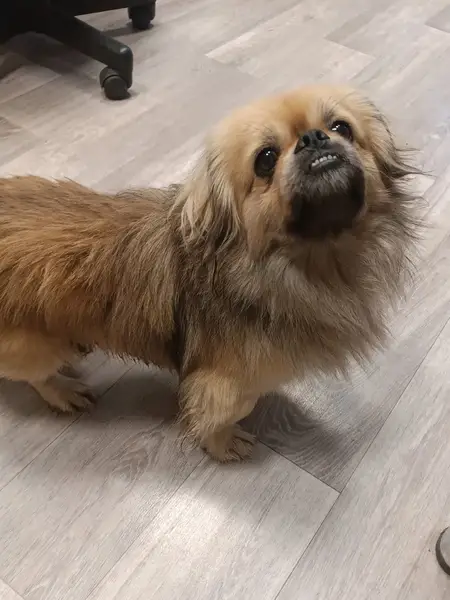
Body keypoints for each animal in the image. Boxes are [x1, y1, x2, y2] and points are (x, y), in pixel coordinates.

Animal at [0, 85, 421, 462]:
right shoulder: (223, 383)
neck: (309, 261)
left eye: (341, 127)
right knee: (35, 374)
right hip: (34, 348)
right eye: (266, 159)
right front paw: (223, 444)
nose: (314, 138)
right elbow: (225, 413)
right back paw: (63, 391)